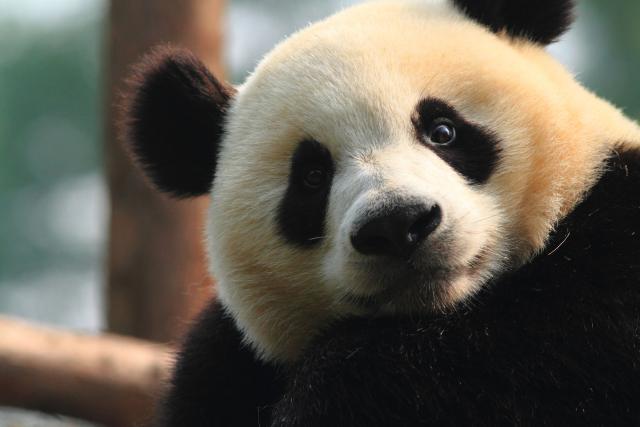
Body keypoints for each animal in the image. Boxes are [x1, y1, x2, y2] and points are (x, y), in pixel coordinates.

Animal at [124, 0, 640, 425]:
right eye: (312, 177)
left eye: (443, 131)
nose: (397, 224)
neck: (437, 317)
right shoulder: (226, 369)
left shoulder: (602, 271)